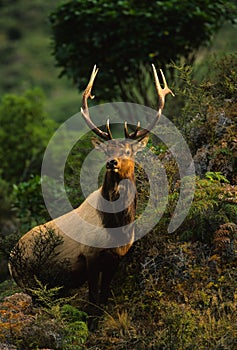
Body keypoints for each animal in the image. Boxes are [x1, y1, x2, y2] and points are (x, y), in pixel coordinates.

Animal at [8, 63, 173, 304]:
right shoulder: (89, 255)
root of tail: (10, 261)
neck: (116, 227)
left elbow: (103, 297)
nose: (112, 162)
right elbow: (94, 300)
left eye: (127, 151)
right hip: (30, 280)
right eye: (106, 150)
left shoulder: (116, 258)